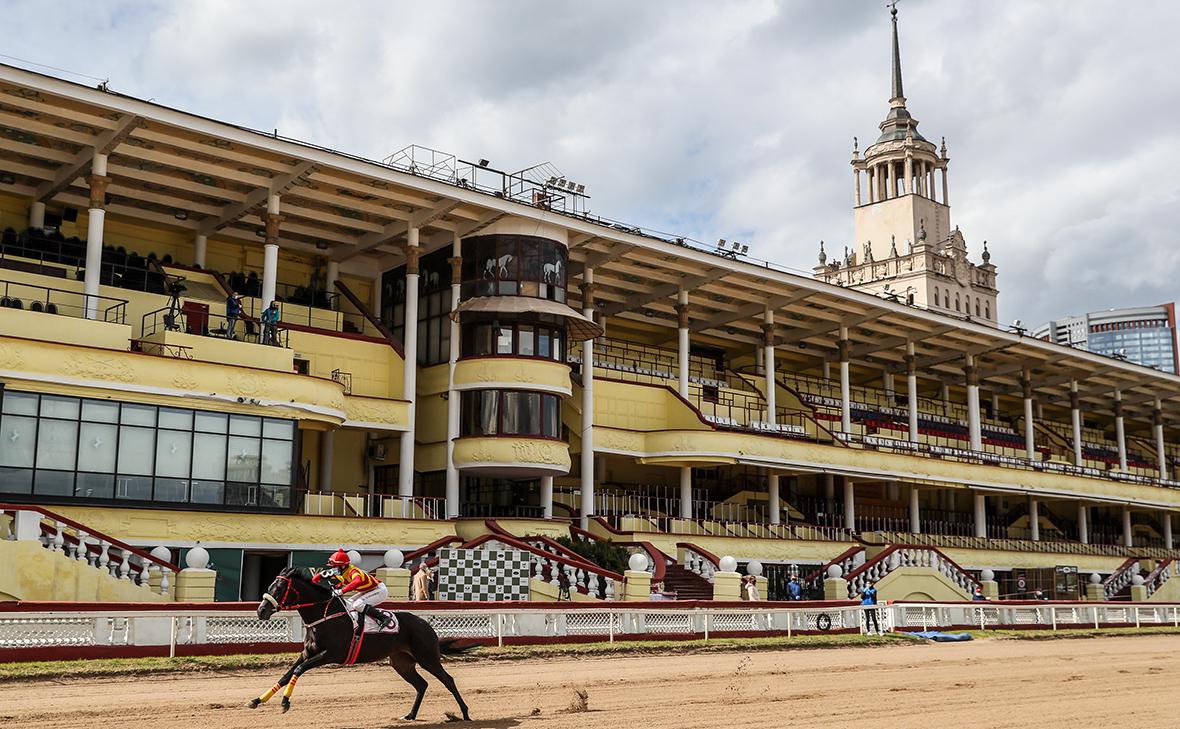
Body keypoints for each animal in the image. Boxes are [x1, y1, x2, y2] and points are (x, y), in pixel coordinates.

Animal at [251, 561, 471, 717]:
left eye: (278, 589)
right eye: (270, 586)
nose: (261, 610)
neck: (324, 616)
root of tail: (426, 625)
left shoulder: (331, 654)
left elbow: (298, 670)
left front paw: (285, 703)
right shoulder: (307, 652)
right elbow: (286, 675)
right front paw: (256, 700)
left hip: (427, 657)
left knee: (448, 680)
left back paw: (465, 714)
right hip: (401, 662)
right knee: (421, 685)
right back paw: (410, 715)